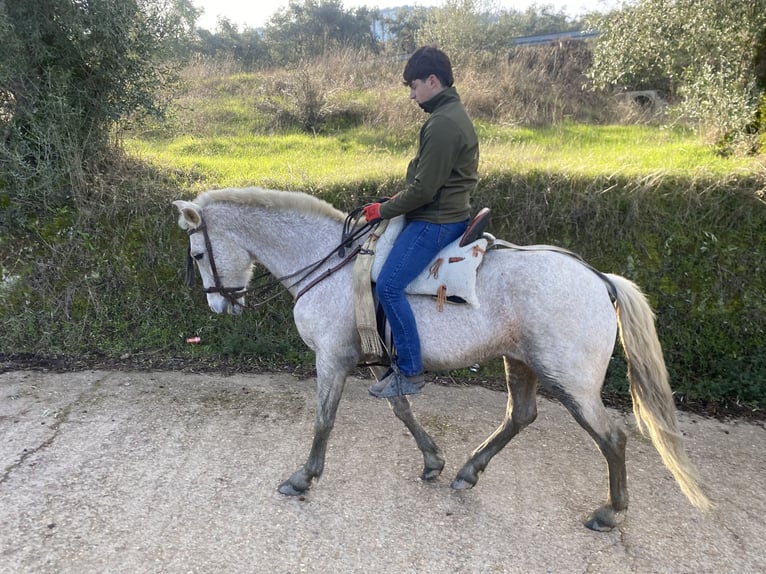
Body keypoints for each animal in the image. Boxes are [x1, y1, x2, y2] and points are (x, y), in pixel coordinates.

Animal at [172, 186, 711, 531]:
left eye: (196, 255)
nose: (220, 305)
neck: (332, 264)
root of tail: (599, 278)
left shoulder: (331, 359)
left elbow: (324, 419)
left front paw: (303, 478)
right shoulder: (381, 361)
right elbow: (401, 407)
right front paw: (433, 460)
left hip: (571, 381)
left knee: (612, 438)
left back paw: (609, 512)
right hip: (521, 361)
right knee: (521, 415)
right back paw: (468, 471)